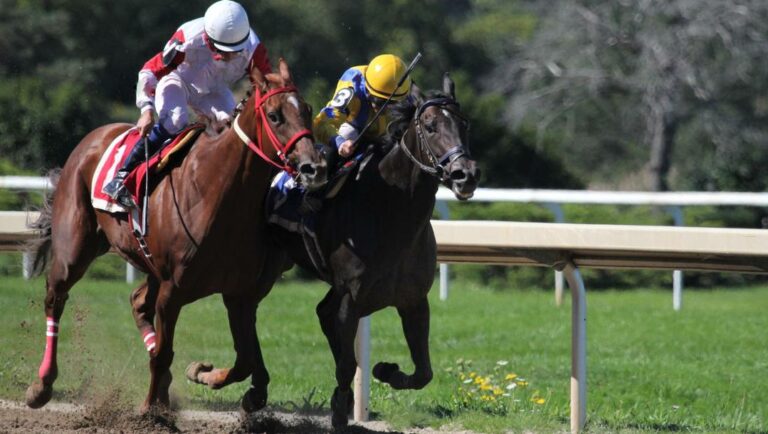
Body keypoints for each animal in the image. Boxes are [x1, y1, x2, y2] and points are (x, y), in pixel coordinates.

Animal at [24, 58, 327, 413]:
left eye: (307, 110)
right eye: (275, 115)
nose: (314, 167)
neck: (218, 192)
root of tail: (95, 137)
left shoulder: (239, 295)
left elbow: (245, 361)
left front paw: (204, 374)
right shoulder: (174, 290)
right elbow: (166, 354)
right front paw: (152, 409)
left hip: (148, 265)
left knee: (138, 302)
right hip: (75, 248)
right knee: (55, 297)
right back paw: (41, 386)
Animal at [226, 73, 480, 427]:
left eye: (464, 124)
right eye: (430, 126)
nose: (465, 174)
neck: (390, 212)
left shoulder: (413, 300)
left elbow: (423, 372)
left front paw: (386, 370)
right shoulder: (352, 297)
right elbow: (347, 363)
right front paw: (339, 408)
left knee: (318, 312)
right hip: (265, 265)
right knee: (248, 311)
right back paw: (255, 389)